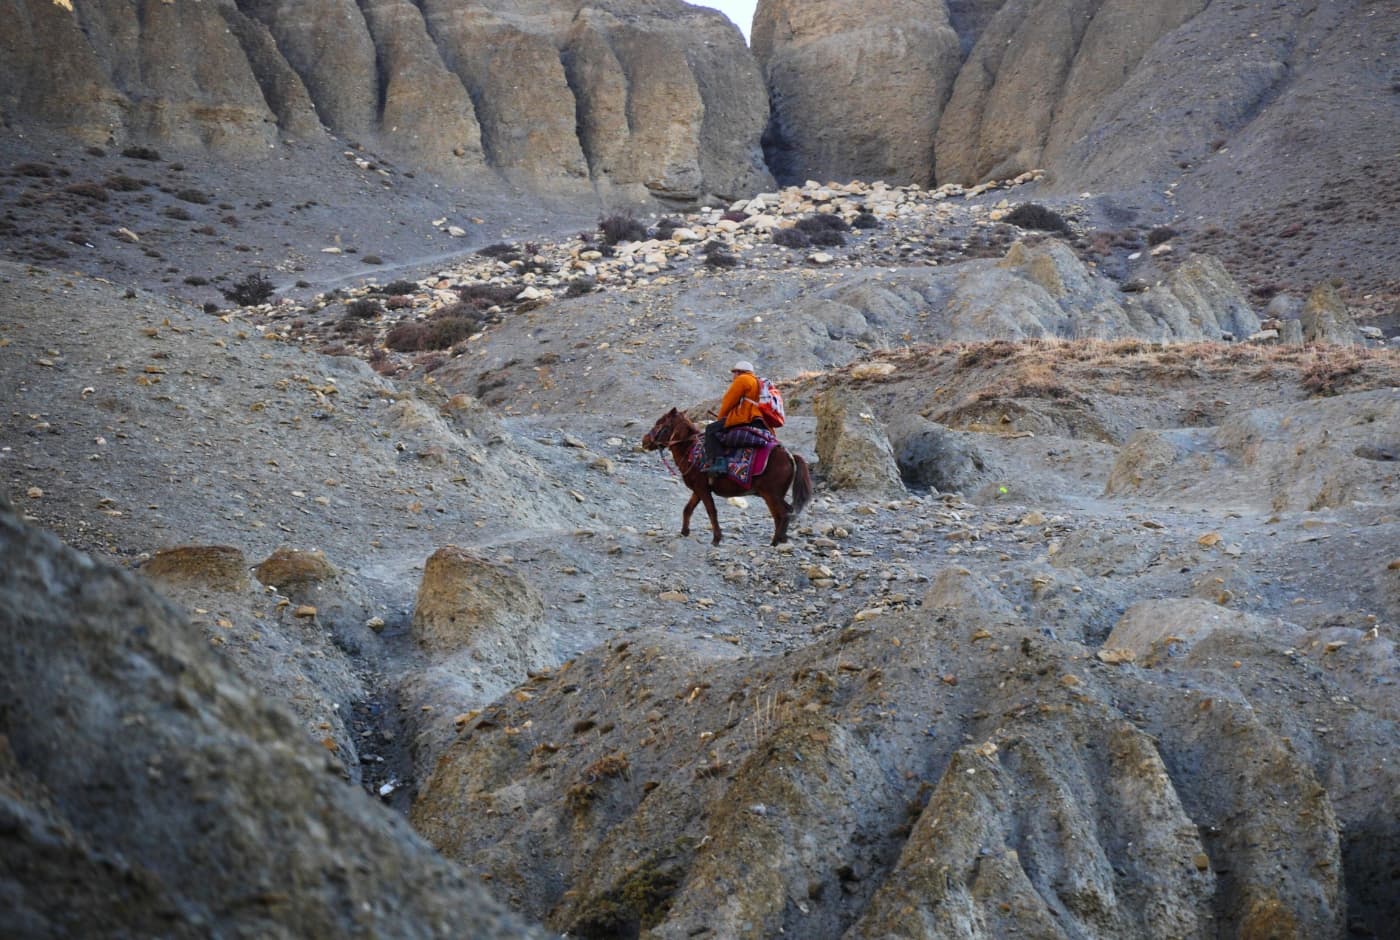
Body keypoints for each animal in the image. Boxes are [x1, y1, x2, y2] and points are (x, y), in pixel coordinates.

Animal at [641, 409, 817, 549]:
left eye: (660, 423)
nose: (644, 441)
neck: (690, 450)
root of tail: (790, 455)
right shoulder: (698, 490)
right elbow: (688, 509)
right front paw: (684, 532)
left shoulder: (702, 488)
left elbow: (711, 511)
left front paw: (716, 539)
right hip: (774, 495)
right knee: (783, 513)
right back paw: (782, 540)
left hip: (771, 494)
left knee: (783, 513)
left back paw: (775, 542)